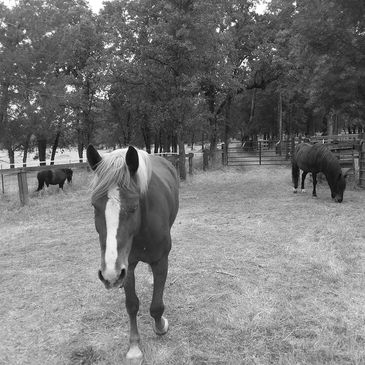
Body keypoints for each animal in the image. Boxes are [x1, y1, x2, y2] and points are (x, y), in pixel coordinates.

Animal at [87, 145, 181, 364]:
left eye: (134, 206)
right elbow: (131, 305)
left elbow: (156, 306)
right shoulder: (126, 266)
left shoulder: (160, 261)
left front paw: (160, 326)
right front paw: (134, 347)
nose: (109, 275)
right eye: (94, 205)